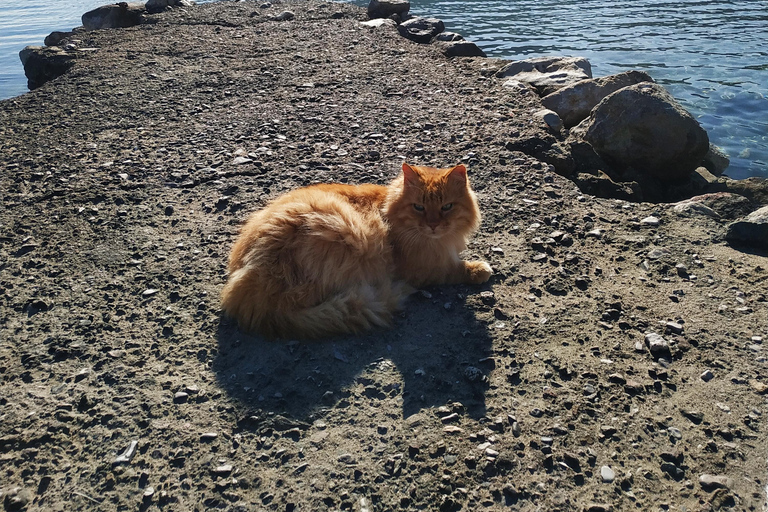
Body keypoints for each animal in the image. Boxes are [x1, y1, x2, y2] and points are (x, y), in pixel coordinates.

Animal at [219, 163, 492, 340]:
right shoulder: (423, 270)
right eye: (419, 207)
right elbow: (453, 269)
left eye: (447, 207)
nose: (433, 225)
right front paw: (479, 269)